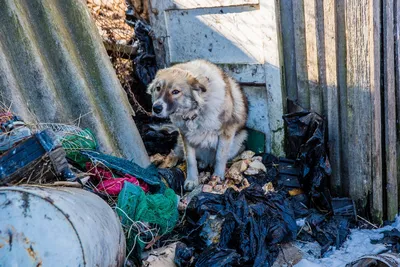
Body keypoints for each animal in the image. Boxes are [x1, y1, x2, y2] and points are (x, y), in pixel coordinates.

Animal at [147, 59, 247, 192]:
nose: (156, 108)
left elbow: (220, 156)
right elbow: (190, 159)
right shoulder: (185, 135)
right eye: (158, 88)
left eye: (175, 92)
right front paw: (192, 180)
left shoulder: (227, 131)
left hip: (239, 139)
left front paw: (218, 176)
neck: (195, 112)